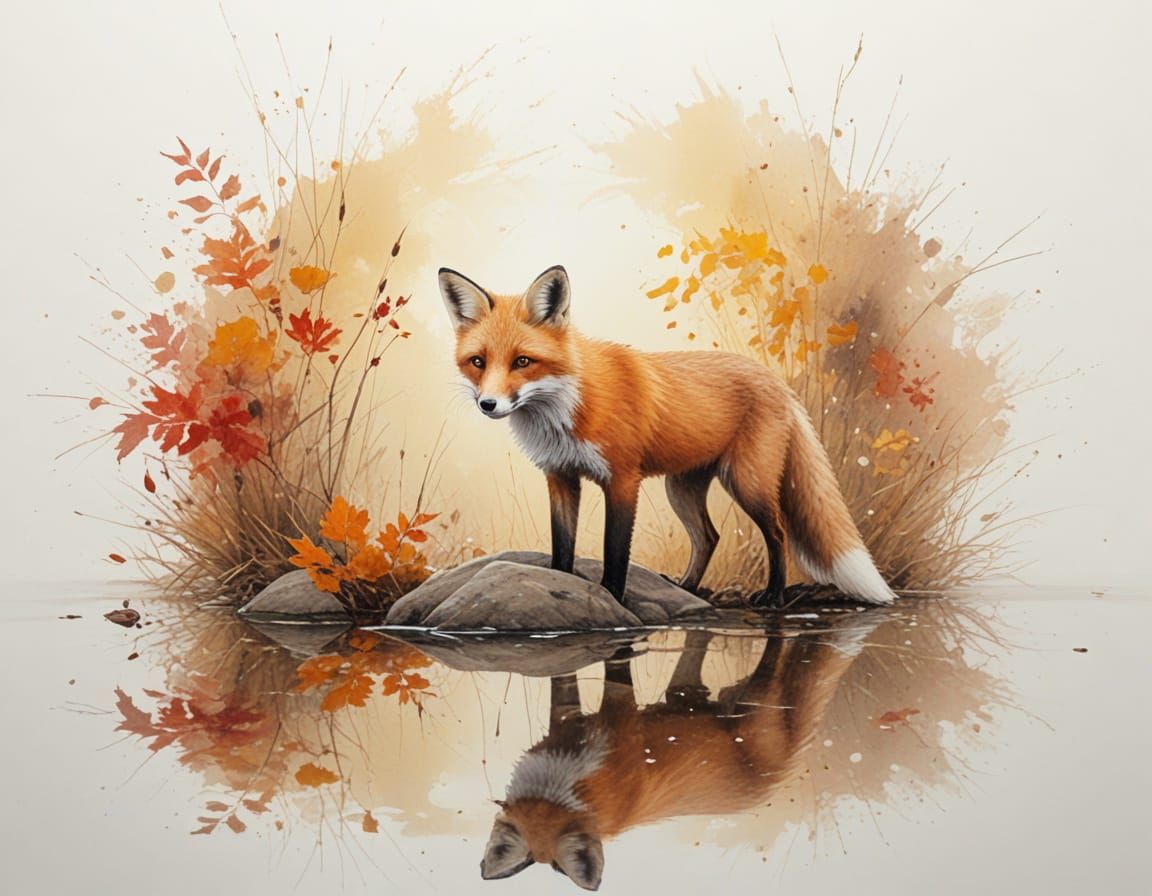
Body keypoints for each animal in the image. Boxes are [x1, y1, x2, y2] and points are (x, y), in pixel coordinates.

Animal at [438, 264, 896, 607]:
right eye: (478, 362)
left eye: (522, 362)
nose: (489, 404)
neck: (567, 409)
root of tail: (776, 381)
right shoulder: (561, 477)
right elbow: (562, 548)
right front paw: (562, 588)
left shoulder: (623, 480)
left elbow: (615, 552)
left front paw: (612, 599)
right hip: (682, 488)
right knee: (709, 537)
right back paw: (687, 589)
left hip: (747, 483)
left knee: (779, 532)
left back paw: (773, 596)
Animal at [480, 620, 878, 889]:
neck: (576, 784)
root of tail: (775, 780)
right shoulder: (564, 728)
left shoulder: (621, 720)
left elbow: (618, 677)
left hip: (758, 697)